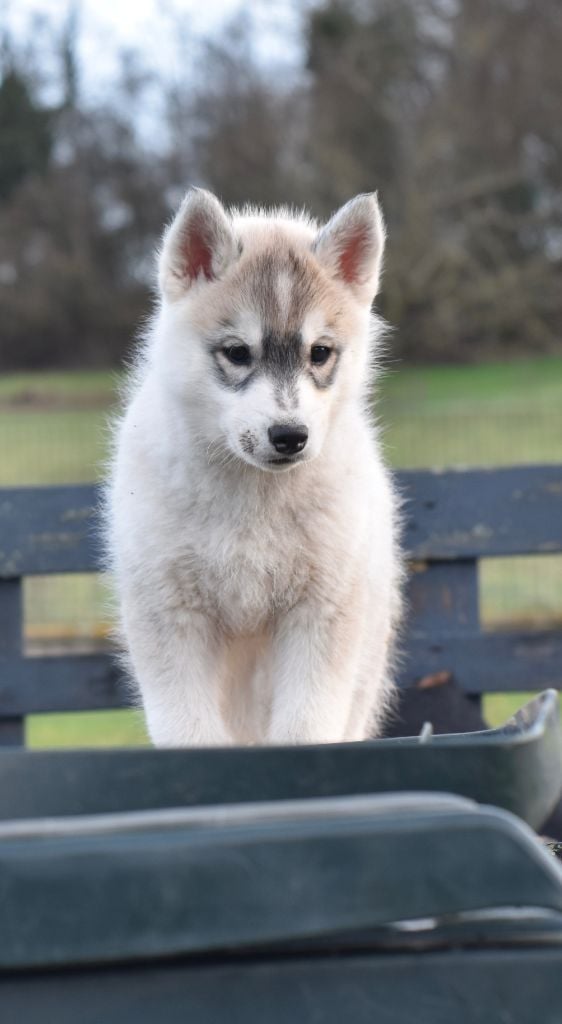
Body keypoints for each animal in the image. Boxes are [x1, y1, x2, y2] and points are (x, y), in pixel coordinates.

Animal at [106, 188, 403, 746]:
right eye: (238, 353)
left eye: (320, 353)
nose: (290, 436)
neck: (253, 499)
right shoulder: (170, 615)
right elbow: (190, 734)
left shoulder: (319, 616)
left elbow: (305, 731)